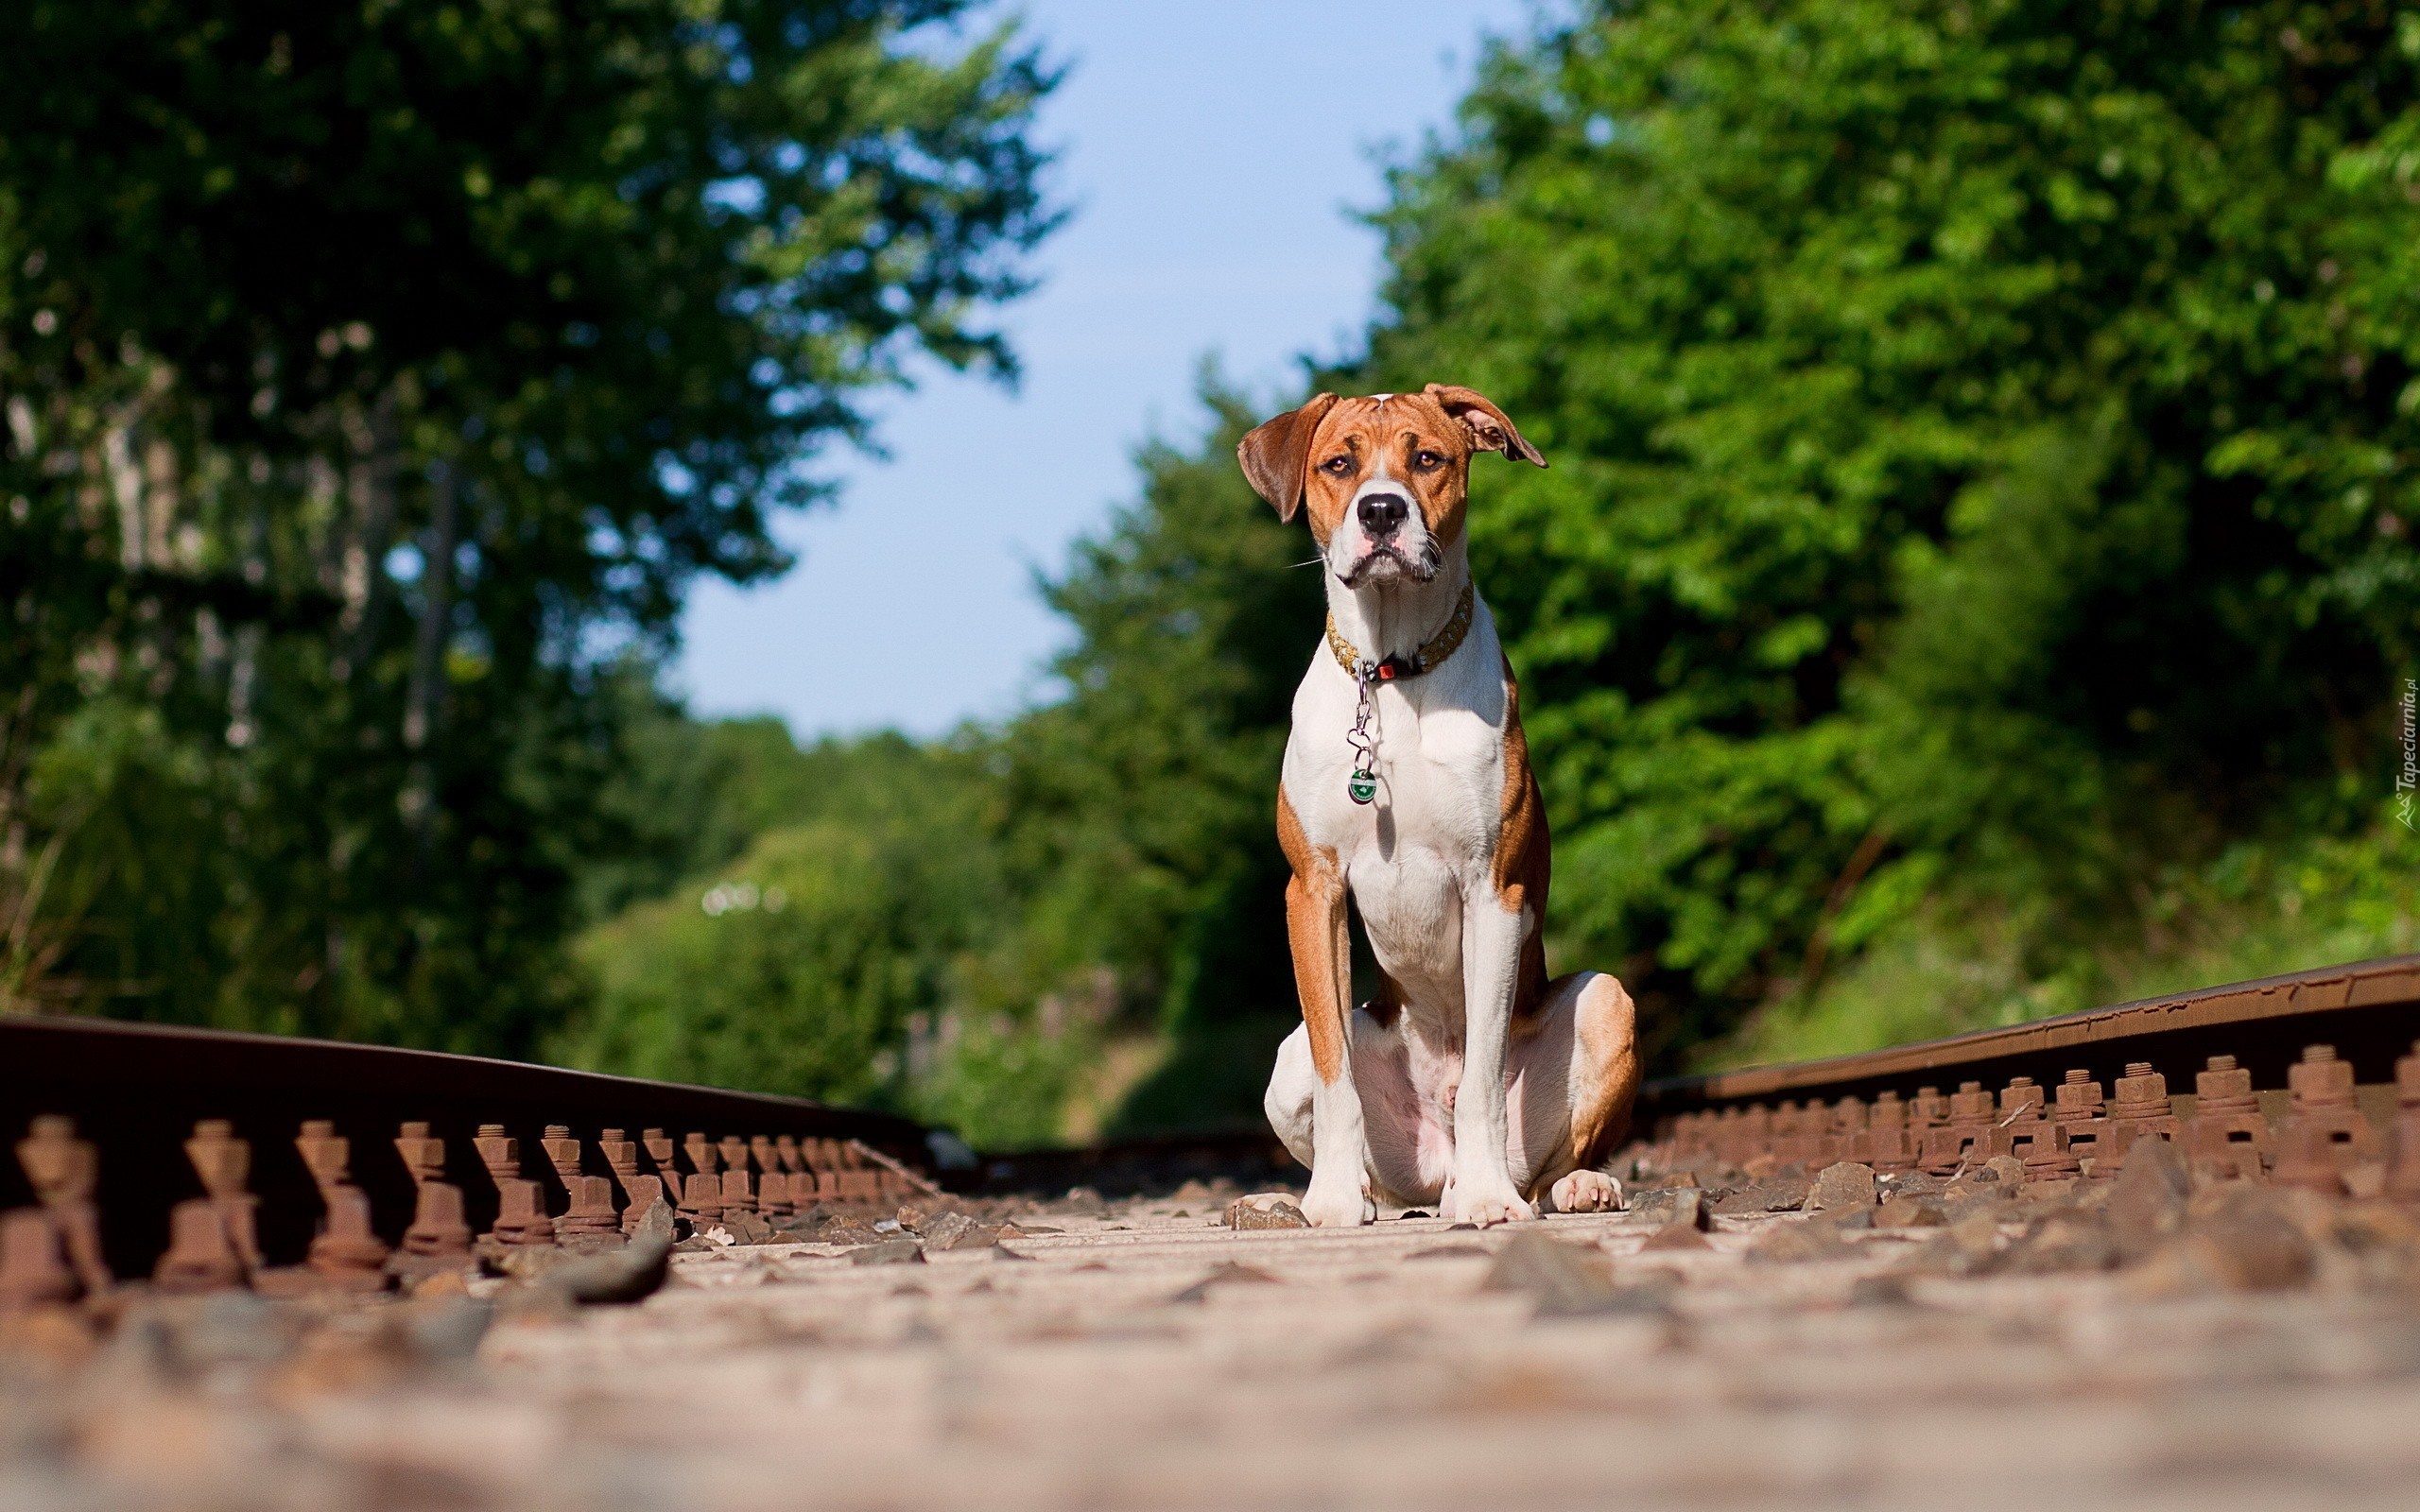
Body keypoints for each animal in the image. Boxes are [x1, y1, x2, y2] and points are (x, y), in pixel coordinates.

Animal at [1238, 387, 1635, 1228]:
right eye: (1339, 464)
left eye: (1428, 458)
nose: (1382, 510)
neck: (1394, 673)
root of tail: (1434, 1170)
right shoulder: (1313, 890)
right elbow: (1336, 1076)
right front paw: (1329, 1201)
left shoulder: (1493, 890)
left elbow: (1482, 1072)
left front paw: (1489, 1200)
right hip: (1287, 1069)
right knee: (1376, 1167)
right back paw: (1301, 1197)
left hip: (1607, 1002)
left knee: (1547, 1161)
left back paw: (1566, 1186)